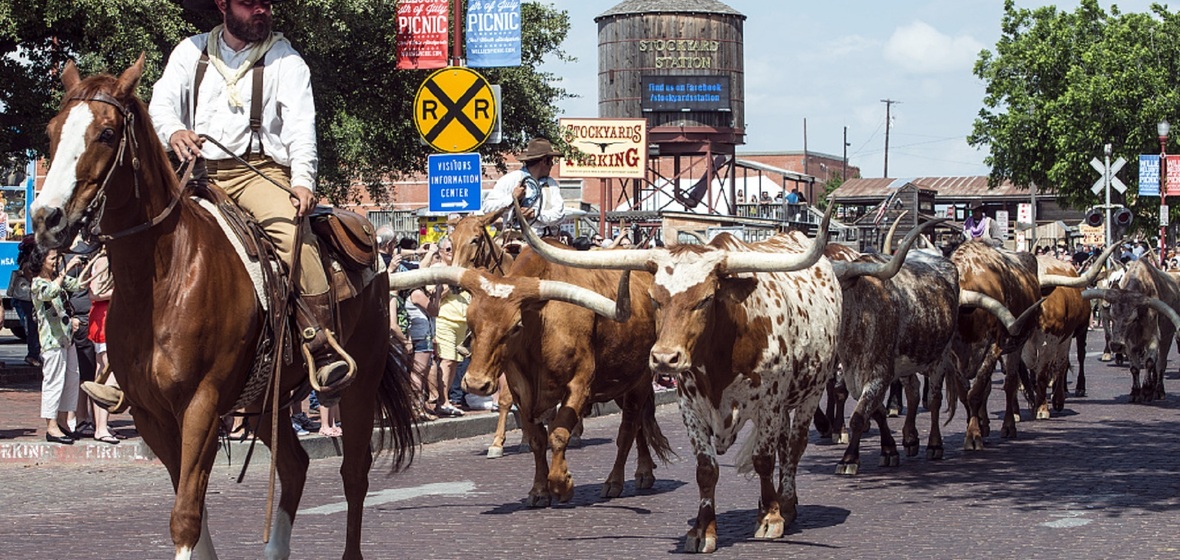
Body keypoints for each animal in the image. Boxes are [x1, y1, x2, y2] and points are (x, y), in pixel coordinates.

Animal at [32, 56, 417, 560]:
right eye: (52, 131)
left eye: (107, 133)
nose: (46, 218)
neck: (164, 278)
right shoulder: (151, 415)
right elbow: (193, 508)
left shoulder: (202, 405)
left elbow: (186, 516)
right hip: (266, 398)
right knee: (294, 466)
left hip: (361, 379)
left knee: (354, 473)